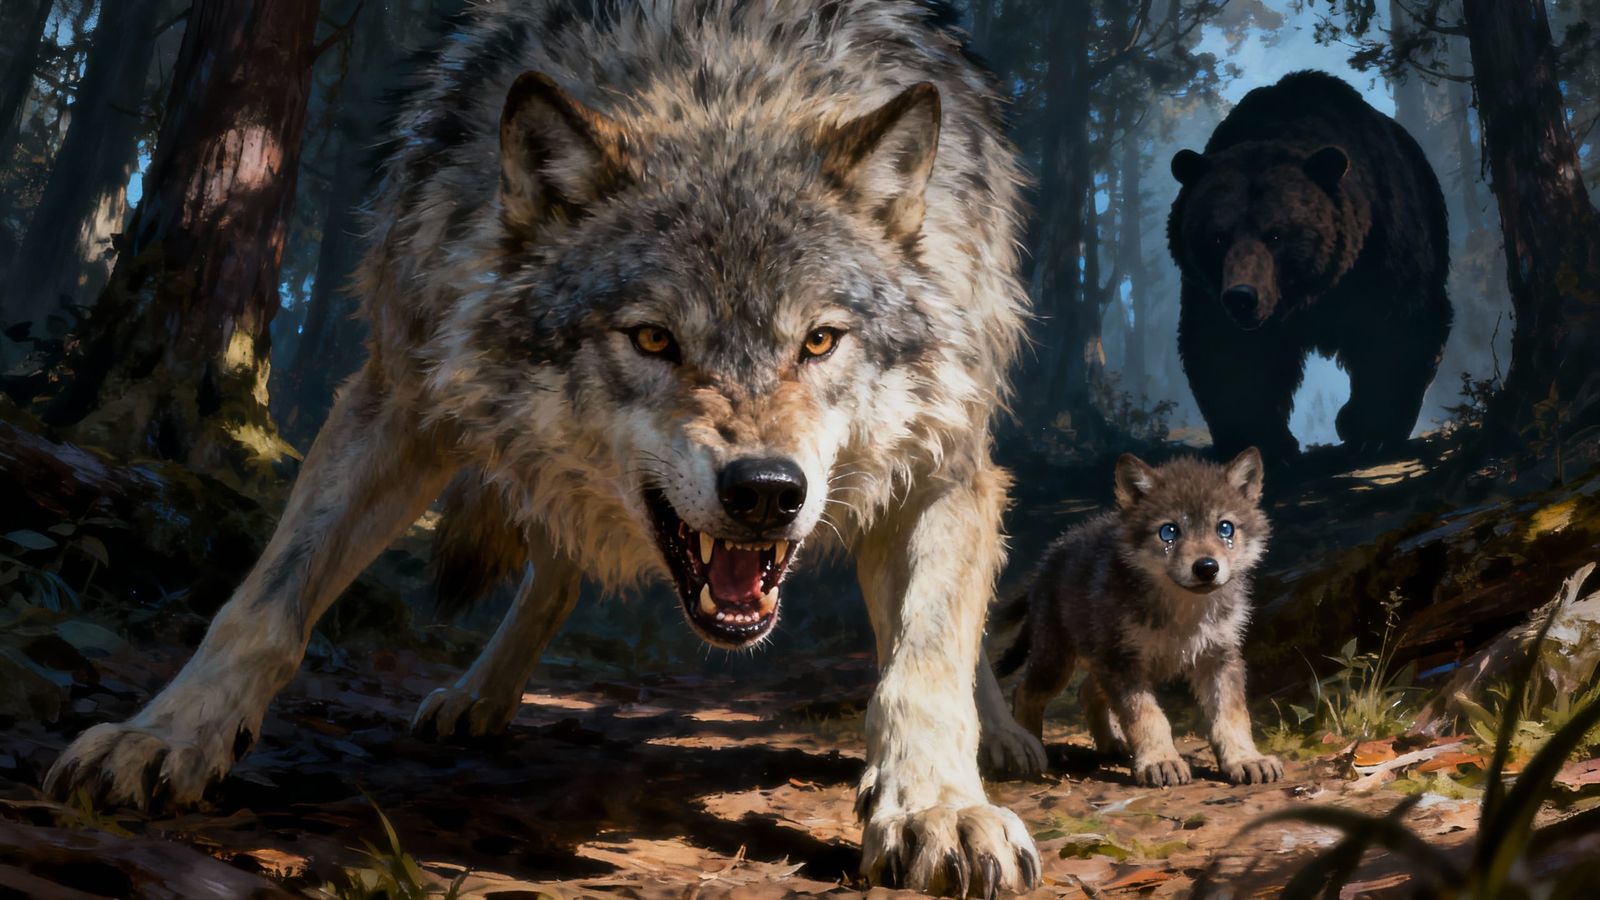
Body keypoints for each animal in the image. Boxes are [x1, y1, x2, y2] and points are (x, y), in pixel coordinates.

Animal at [44, 0, 1041, 892]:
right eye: (653, 339)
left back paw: (1001, 735)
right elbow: (263, 605)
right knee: (553, 572)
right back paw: (480, 694)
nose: (766, 490)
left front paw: (937, 807)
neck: (727, 82)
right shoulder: (397, 399)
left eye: (821, 341)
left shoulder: (942, 462)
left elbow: (924, 659)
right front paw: (164, 735)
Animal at [988, 449, 1284, 787]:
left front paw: (1246, 759)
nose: (1207, 567)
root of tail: (1048, 559)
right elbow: (1148, 717)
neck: (1183, 611)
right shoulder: (1123, 662)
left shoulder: (1219, 657)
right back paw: (1033, 749)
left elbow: (1232, 717)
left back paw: (1112, 745)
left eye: (1225, 528)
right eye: (1169, 531)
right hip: (1058, 662)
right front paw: (1160, 761)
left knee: (1086, 692)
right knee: (1025, 692)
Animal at [1167, 70, 1452, 461]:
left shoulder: (1380, 247)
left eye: (1275, 235)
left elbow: (1396, 327)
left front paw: (1369, 430)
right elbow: (1228, 351)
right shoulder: (1208, 289)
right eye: (1218, 237)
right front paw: (1265, 442)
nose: (1242, 297)